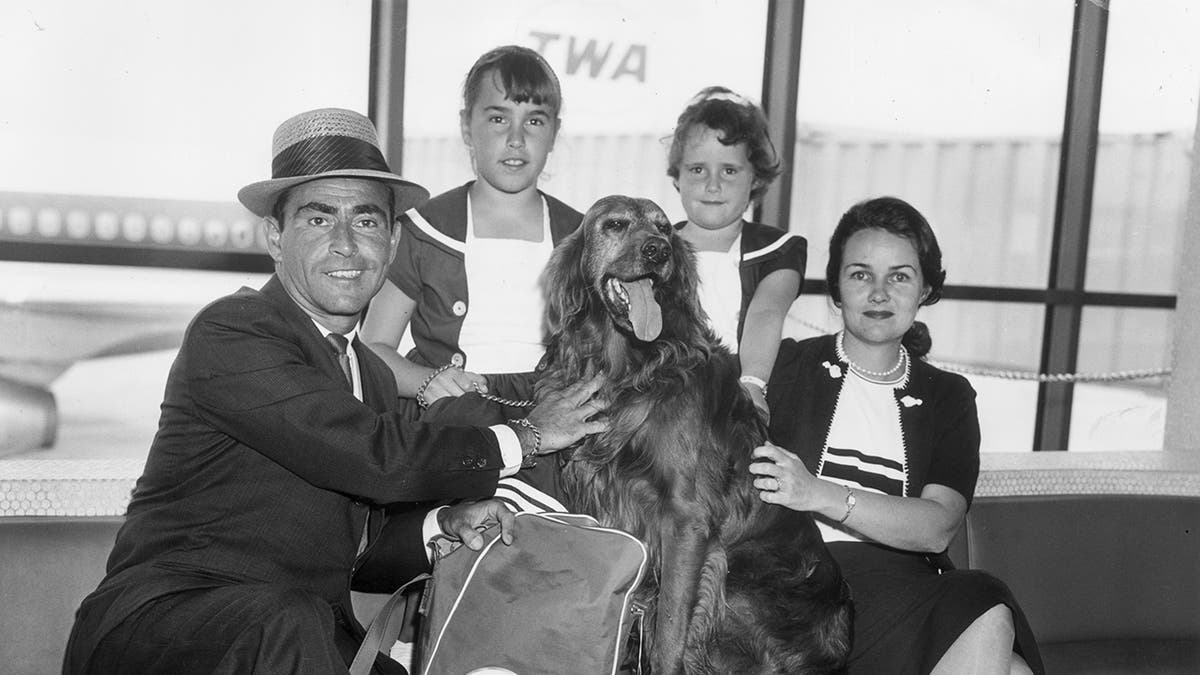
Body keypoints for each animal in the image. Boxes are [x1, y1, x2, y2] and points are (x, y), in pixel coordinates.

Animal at [535, 195, 854, 672]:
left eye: (665, 228)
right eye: (615, 224)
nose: (657, 252)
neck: (630, 366)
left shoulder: (685, 521)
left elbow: (668, 632)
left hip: (742, 581)